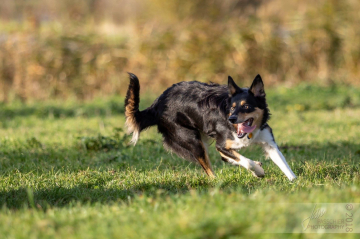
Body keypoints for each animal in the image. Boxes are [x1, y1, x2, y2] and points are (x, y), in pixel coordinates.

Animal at [125, 74, 296, 180]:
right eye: (232, 108)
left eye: (246, 106)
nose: (231, 118)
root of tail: (157, 104)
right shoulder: (222, 144)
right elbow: (247, 161)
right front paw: (259, 171)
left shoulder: (268, 142)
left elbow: (283, 164)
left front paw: (293, 181)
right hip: (193, 141)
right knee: (209, 169)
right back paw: (217, 181)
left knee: (224, 158)